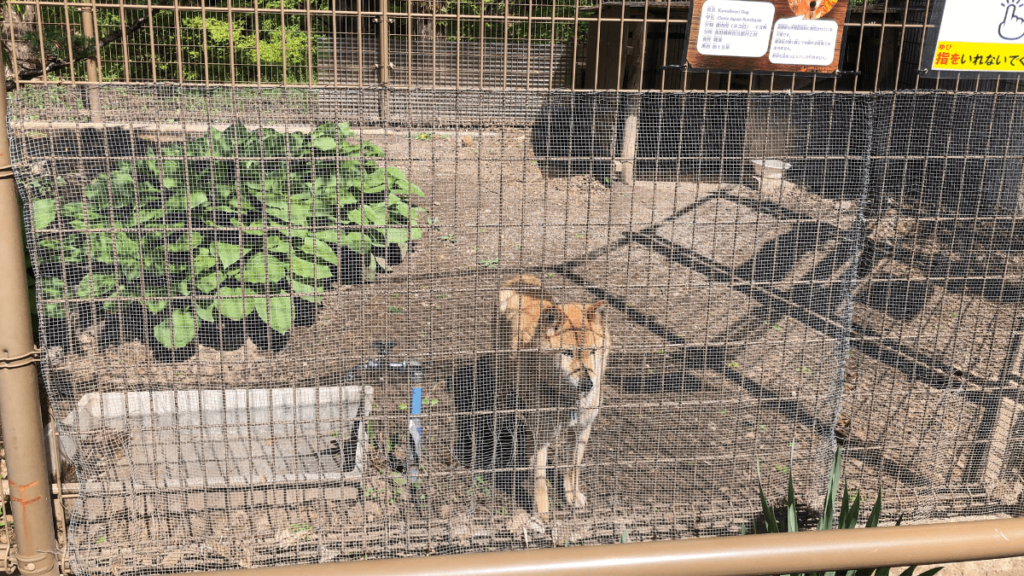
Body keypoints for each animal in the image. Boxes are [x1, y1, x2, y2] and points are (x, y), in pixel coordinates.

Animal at [495, 274, 606, 524]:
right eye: (567, 353)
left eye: (592, 351)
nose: (587, 384)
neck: (569, 401)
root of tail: (522, 277)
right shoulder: (543, 436)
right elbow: (540, 479)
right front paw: (542, 513)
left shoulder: (582, 430)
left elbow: (573, 466)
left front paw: (572, 496)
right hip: (504, 384)